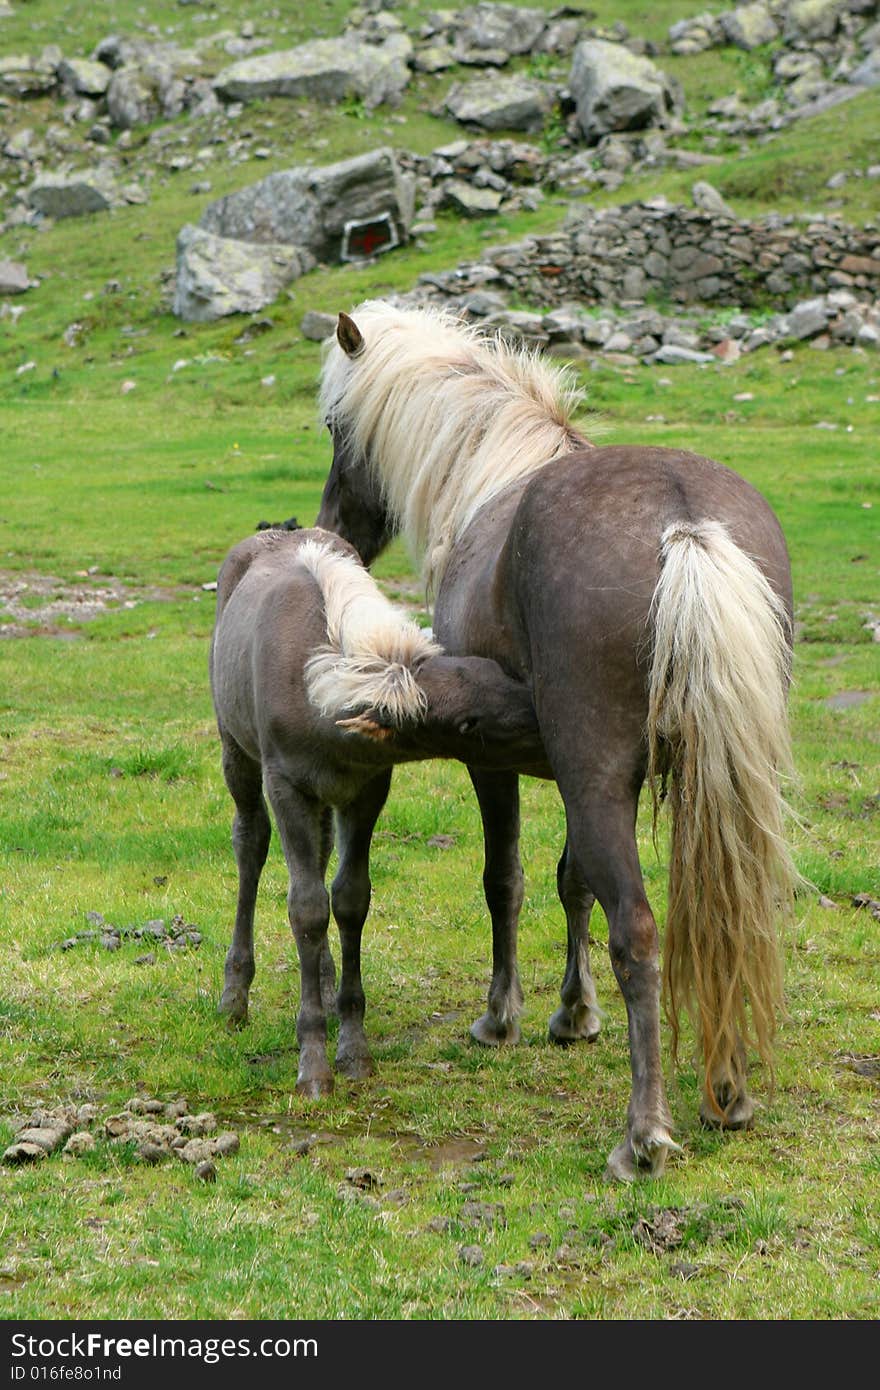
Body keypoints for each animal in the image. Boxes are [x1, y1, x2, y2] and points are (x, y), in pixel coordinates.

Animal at [211, 525, 542, 1089]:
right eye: (466, 724)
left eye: (496, 672)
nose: (543, 721)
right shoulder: (286, 785)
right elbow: (305, 907)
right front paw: (314, 1064)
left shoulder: (367, 789)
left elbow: (348, 898)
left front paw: (353, 1047)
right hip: (237, 751)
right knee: (250, 844)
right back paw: (235, 997)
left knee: (321, 857)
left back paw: (322, 984)